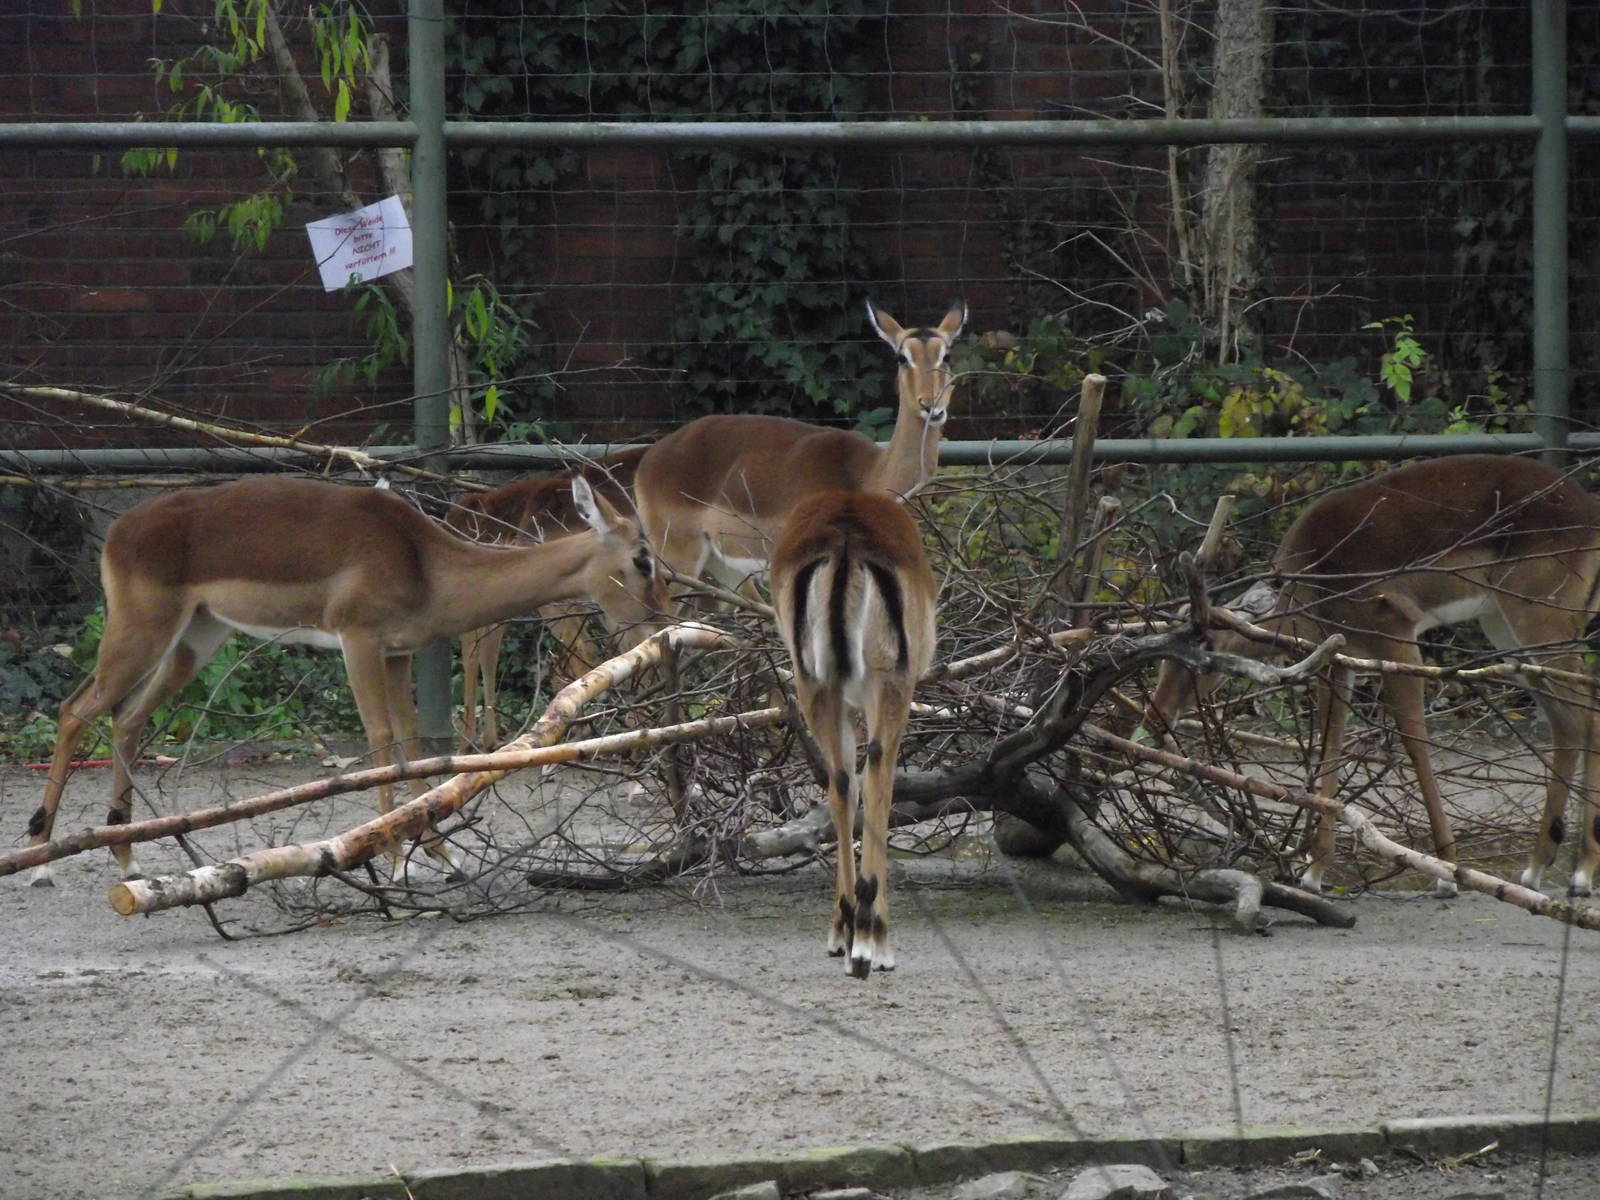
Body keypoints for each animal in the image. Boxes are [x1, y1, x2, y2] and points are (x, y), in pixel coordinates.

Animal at [634, 299, 965, 603]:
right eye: (901, 357)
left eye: (946, 354)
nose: (932, 406)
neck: (864, 473)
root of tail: (649, 459)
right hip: (678, 560)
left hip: (724, 571)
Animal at [771, 489, 937, 976]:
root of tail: (846, 533)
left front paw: (839, 934)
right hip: (890, 685)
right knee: (878, 772)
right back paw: (869, 941)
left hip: (817, 686)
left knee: (841, 781)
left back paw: (847, 931)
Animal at [1145, 454, 1600, 896]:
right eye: (1163, 651)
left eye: (1206, 648)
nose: (1156, 715)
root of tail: (1589, 512)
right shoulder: (1339, 661)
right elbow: (1329, 747)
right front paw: (1313, 873)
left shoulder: (1397, 636)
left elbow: (1414, 741)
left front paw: (1446, 873)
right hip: (1508, 631)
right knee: (1568, 723)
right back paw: (1537, 871)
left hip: (1540, 620)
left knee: (1588, 713)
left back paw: (1579, 875)